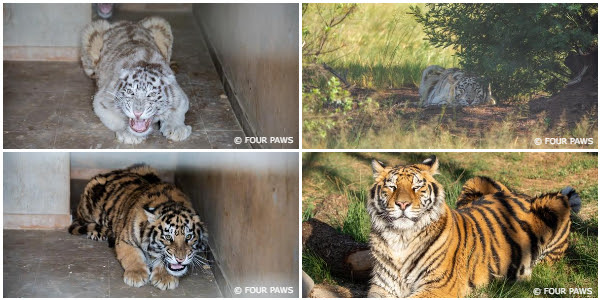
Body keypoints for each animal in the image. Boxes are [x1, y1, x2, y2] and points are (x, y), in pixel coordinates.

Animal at [69, 165, 206, 290]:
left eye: (189, 236)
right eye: (167, 237)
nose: (180, 259)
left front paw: (165, 278)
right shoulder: (124, 240)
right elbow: (132, 256)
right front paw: (136, 276)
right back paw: (96, 233)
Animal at [80, 16, 190, 144]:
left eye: (152, 94)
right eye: (130, 92)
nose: (137, 113)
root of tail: (126, 22)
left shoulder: (180, 95)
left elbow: (177, 112)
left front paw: (177, 129)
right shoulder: (102, 100)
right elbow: (115, 118)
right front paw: (130, 134)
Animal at [368, 157, 580, 298]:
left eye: (416, 187)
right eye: (392, 187)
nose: (402, 204)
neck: (400, 237)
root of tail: (521, 194)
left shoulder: (439, 286)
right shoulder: (382, 287)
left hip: (554, 204)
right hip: (477, 179)